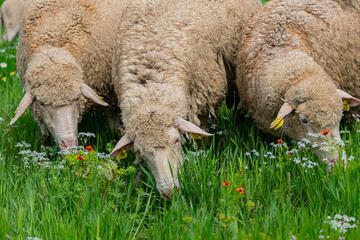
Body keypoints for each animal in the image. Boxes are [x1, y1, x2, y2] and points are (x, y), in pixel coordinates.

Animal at [11, 0, 128, 149]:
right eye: (42, 104)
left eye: (77, 99)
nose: (69, 145)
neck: (54, 43)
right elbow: (44, 137)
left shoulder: (109, 93)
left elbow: (116, 128)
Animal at [111, 0, 260, 200]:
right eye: (138, 150)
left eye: (176, 140)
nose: (169, 192)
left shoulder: (202, 95)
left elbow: (201, 137)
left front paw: (202, 159)